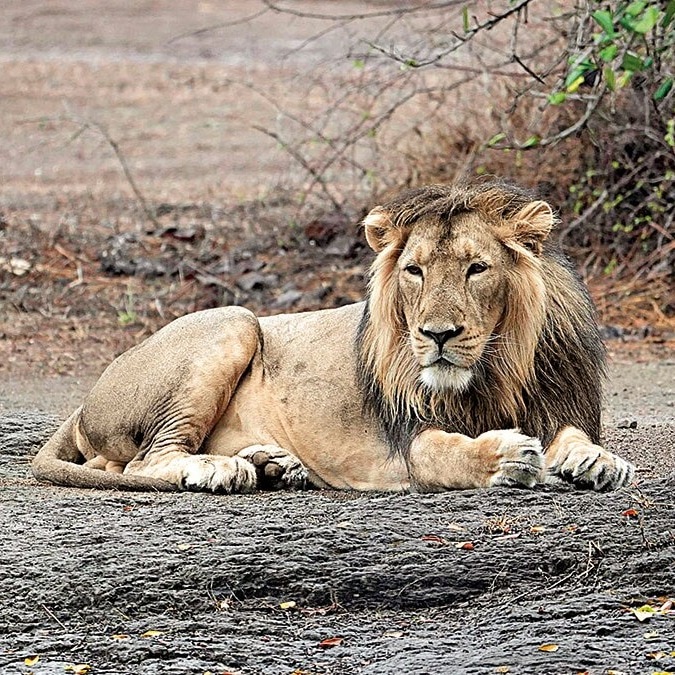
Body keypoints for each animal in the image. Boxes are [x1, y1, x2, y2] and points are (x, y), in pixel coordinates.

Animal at [32, 180, 634, 493]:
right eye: (414, 271)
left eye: (476, 268)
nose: (437, 335)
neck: (496, 370)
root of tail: (86, 399)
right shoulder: (408, 441)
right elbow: (450, 454)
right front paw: (508, 456)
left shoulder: (560, 404)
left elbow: (575, 435)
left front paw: (596, 461)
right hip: (233, 320)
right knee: (141, 462)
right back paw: (221, 469)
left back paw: (274, 464)